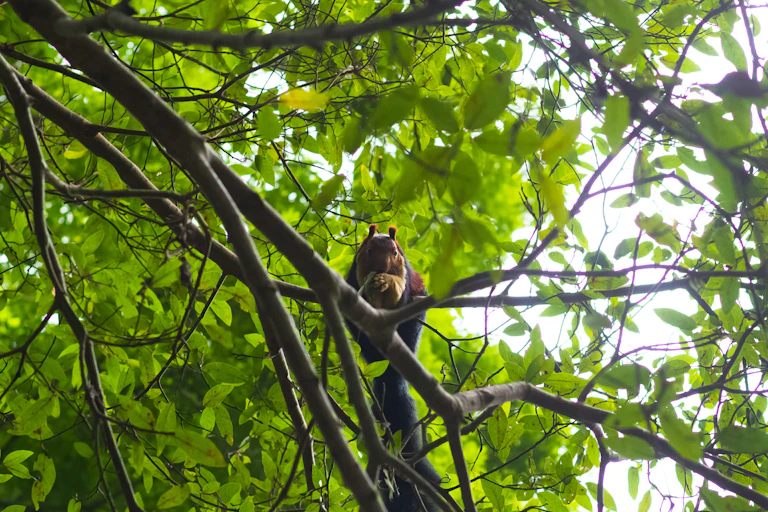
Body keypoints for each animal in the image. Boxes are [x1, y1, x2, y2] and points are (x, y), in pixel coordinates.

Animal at [346, 225, 440, 512]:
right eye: (367, 250)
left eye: (396, 252)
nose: (383, 266)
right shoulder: (353, 277)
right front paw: (372, 286)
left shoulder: (408, 281)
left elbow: (401, 291)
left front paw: (388, 283)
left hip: (413, 325)